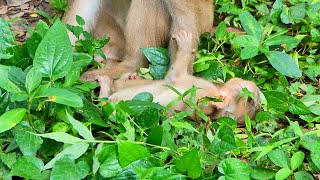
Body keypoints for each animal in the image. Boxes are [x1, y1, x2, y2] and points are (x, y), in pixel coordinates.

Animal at [99, 30, 262, 124]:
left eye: (250, 98)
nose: (256, 88)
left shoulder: (198, 89)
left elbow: (173, 75)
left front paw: (185, 45)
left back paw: (105, 84)